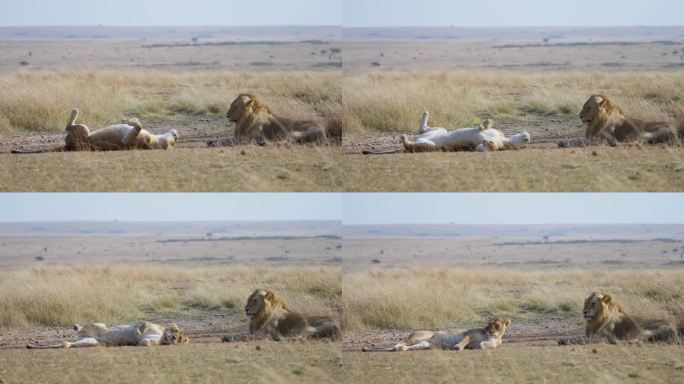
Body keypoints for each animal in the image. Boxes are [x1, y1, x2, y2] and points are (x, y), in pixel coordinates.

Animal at [12, 108, 178, 153]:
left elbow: (138, 127)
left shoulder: (129, 142)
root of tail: (68, 146)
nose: (177, 134)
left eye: (173, 142)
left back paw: (75, 111)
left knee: (68, 127)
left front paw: (133, 121)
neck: (154, 141)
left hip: (83, 131)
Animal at [206, 93, 340, 147]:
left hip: (294, 131)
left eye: (235, 107)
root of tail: (323, 131)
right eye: (231, 105)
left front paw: (214, 142)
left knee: (288, 142)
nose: (227, 115)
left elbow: (228, 140)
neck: (245, 120)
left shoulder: (249, 138)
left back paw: (264, 143)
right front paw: (211, 140)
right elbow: (227, 137)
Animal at [398, 111, 532, 152]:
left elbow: (481, 147)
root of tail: (418, 138)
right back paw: (425, 113)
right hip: (439, 131)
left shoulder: (480, 146)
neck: (505, 141)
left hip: (432, 146)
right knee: (423, 129)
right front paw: (487, 122)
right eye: (525, 140)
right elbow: (484, 127)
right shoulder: (497, 133)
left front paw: (488, 143)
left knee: (410, 145)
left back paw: (404, 137)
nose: (528, 137)